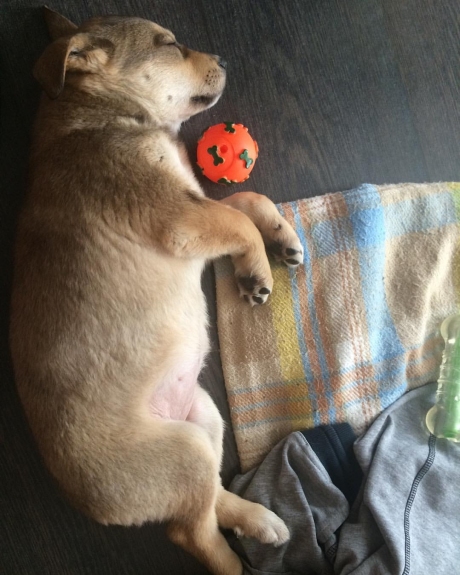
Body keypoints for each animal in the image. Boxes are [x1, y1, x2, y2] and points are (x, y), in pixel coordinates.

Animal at [9, 8, 304, 575]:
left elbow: (246, 201)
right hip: (184, 452)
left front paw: (278, 238)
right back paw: (238, 558)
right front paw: (257, 267)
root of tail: (95, 508)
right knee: (191, 531)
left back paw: (261, 520)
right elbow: (238, 218)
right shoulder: (180, 220)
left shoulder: (194, 202)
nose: (224, 58)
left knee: (209, 499)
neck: (108, 116)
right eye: (167, 44)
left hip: (203, 418)